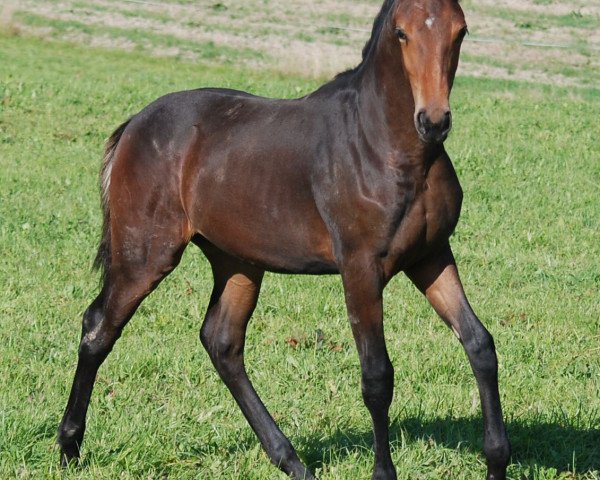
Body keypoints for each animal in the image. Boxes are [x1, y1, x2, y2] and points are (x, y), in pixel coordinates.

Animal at [57, 0, 510, 480]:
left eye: (460, 31)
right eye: (401, 33)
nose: (434, 121)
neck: (388, 150)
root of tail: (134, 125)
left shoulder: (431, 256)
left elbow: (480, 344)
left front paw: (497, 460)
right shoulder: (361, 268)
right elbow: (376, 377)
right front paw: (383, 472)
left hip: (237, 262)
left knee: (222, 341)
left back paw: (292, 461)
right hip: (145, 255)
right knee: (99, 327)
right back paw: (69, 447)